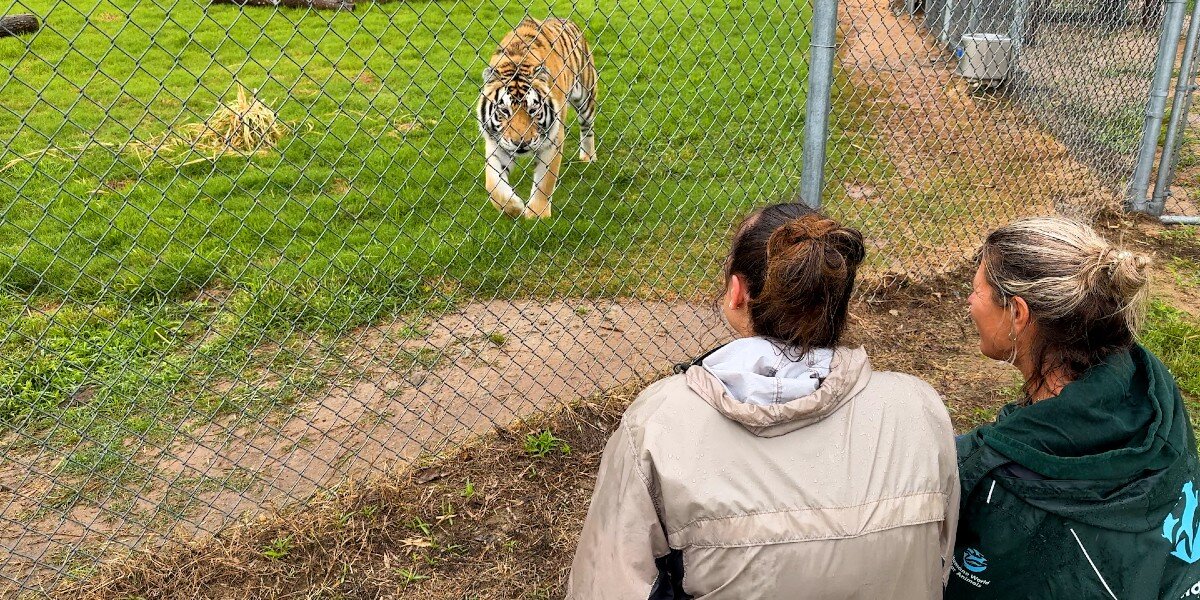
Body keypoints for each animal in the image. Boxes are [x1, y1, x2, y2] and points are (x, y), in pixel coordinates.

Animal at [477, 17, 597, 219]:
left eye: (533, 110)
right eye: (504, 111)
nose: (521, 143)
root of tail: (565, 19)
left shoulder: (553, 141)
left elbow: (544, 182)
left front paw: (536, 215)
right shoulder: (497, 142)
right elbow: (493, 185)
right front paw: (514, 207)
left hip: (586, 95)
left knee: (587, 128)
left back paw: (588, 157)